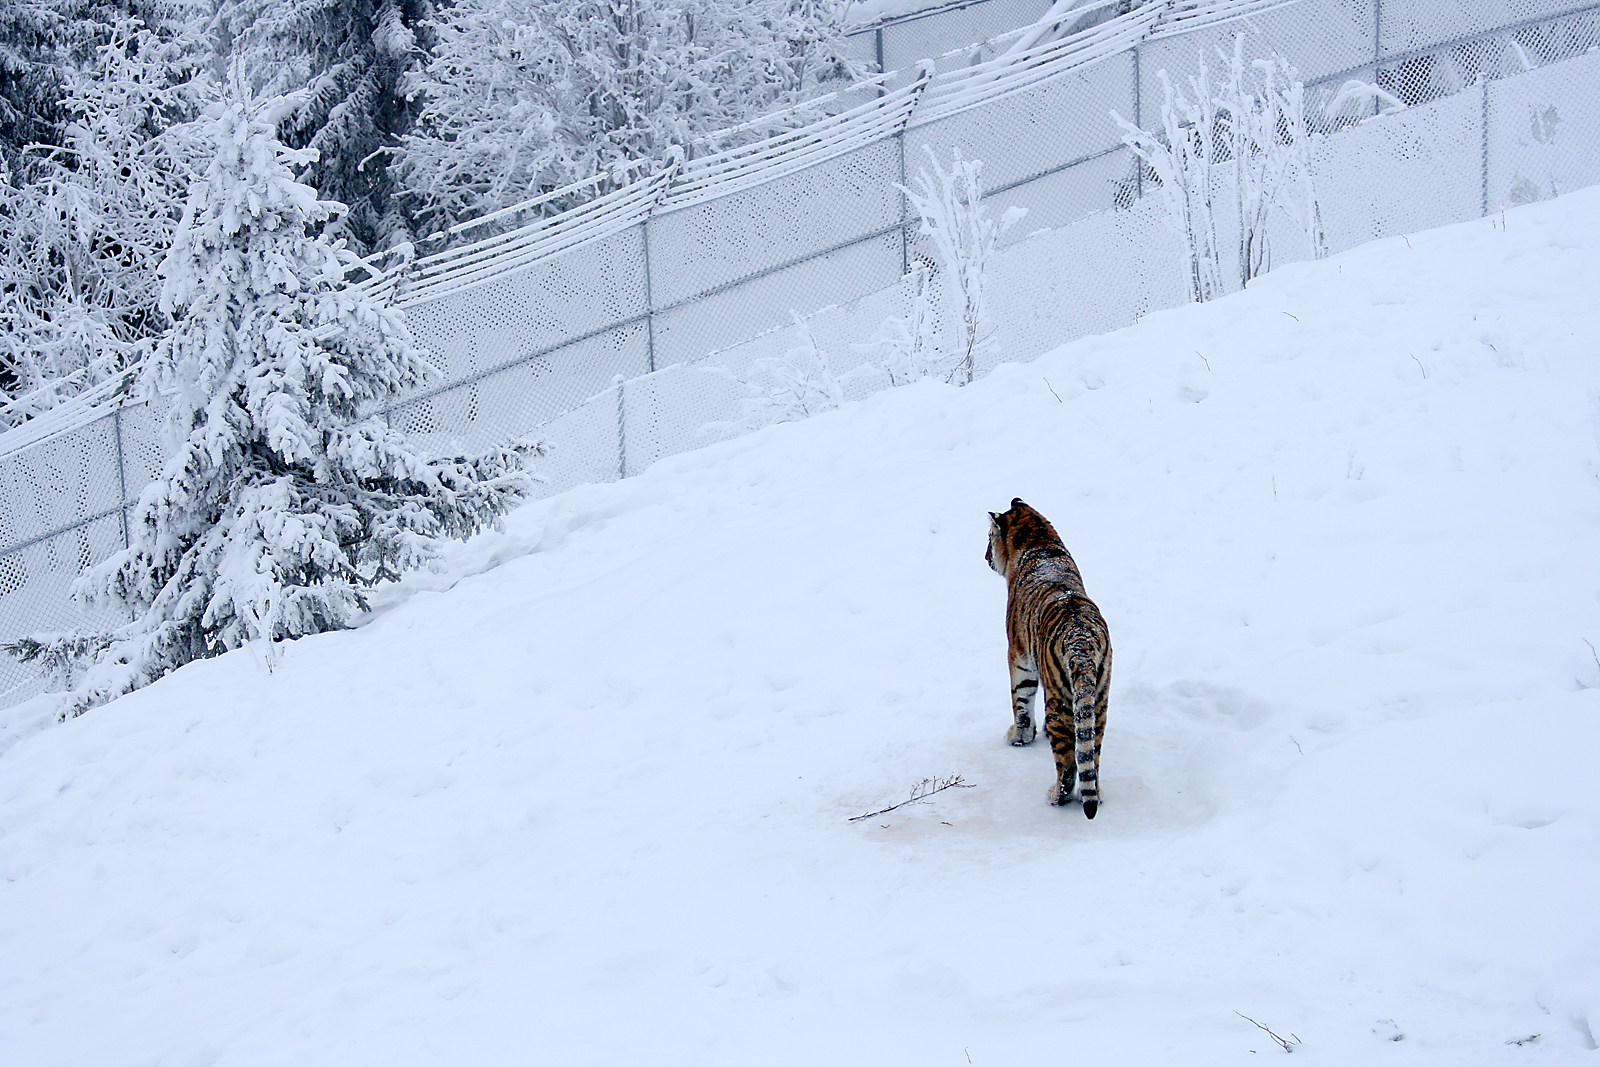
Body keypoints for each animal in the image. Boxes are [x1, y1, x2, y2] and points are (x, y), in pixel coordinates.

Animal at [985, 498, 1112, 818]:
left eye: (989, 538)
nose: (985, 557)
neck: (1039, 539)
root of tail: (1081, 641)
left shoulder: (1018, 654)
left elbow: (1020, 699)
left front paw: (1019, 736)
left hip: (1060, 703)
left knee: (1067, 765)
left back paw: (1055, 796)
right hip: (1099, 696)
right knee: (1091, 753)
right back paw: (1096, 794)